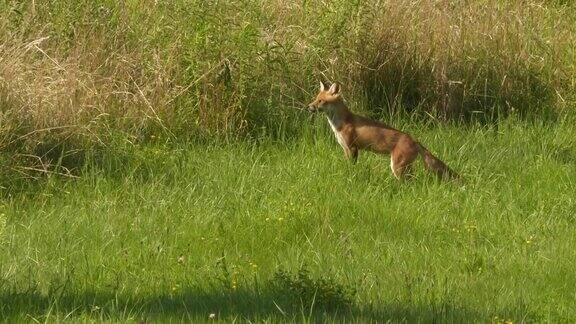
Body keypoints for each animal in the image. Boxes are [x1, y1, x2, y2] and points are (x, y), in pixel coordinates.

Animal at [306, 81, 460, 181]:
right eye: (315, 99)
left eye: (321, 101)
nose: (308, 107)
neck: (340, 123)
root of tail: (415, 140)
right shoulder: (345, 148)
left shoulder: (352, 147)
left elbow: (352, 167)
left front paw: (351, 176)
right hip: (405, 167)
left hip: (397, 167)